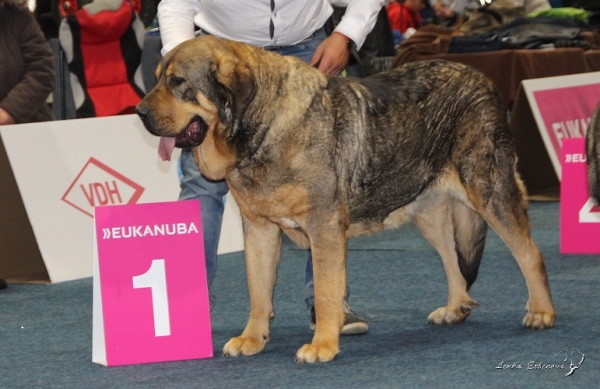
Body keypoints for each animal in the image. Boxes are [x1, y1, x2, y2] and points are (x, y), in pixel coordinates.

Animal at [135, 34, 552, 362]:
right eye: (156, 81)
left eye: (178, 82)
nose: (138, 111)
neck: (265, 125)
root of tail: (482, 78)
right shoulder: (259, 231)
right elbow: (258, 291)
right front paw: (252, 339)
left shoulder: (324, 229)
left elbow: (325, 291)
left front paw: (322, 345)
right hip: (426, 207)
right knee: (453, 261)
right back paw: (454, 308)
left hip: (489, 192)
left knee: (529, 253)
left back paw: (542, 313)